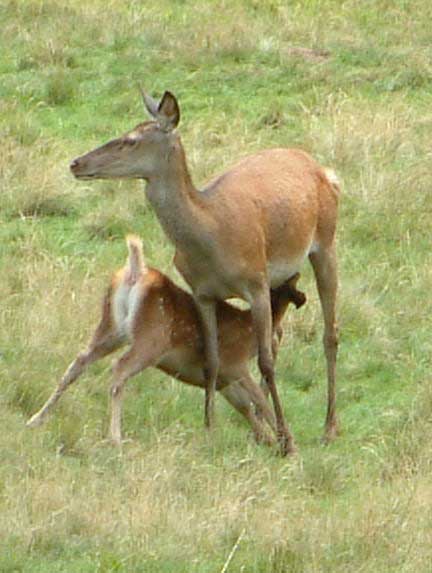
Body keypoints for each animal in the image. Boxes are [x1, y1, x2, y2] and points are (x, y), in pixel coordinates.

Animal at [27, 235, 306, 444]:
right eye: (295, 279)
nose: (302, 297)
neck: (248, 333)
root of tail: (135, 272)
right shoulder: (234, 364)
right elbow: (258, 400)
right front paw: (286, 444)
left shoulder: (224, 380)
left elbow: (244, 406)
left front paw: (266, 441)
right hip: (152, 338)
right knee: (119, 369)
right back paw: (116, 437)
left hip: (111, 327)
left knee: (80, 360)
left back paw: (36, 419)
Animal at [70, 91, 340, 454]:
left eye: (131, 140)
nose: (76, 163)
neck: (212, 241)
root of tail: (322, 168)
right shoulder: (202, 292)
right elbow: (212, 361)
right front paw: (210, 430)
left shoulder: (255, 282)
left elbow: (266, 362)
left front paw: (286, 440)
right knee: (279, 334)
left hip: (325, 243)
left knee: (330, 333)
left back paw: (329, 427)